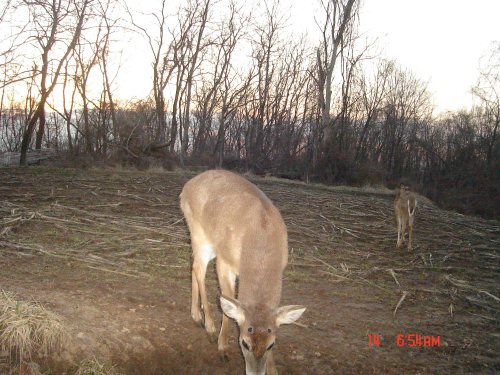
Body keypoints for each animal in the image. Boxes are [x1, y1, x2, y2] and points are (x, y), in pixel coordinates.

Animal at [180, 171, 304, 375]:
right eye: (244, 343)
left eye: (271, 345)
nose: (255, 373)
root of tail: (188, 185)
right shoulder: (225, 261)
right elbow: (227, 301)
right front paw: (222, 347)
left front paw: (273, 369)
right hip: (198, 231)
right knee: (199, 268)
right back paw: (209, 326)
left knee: (193, 265)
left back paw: (196, 316)